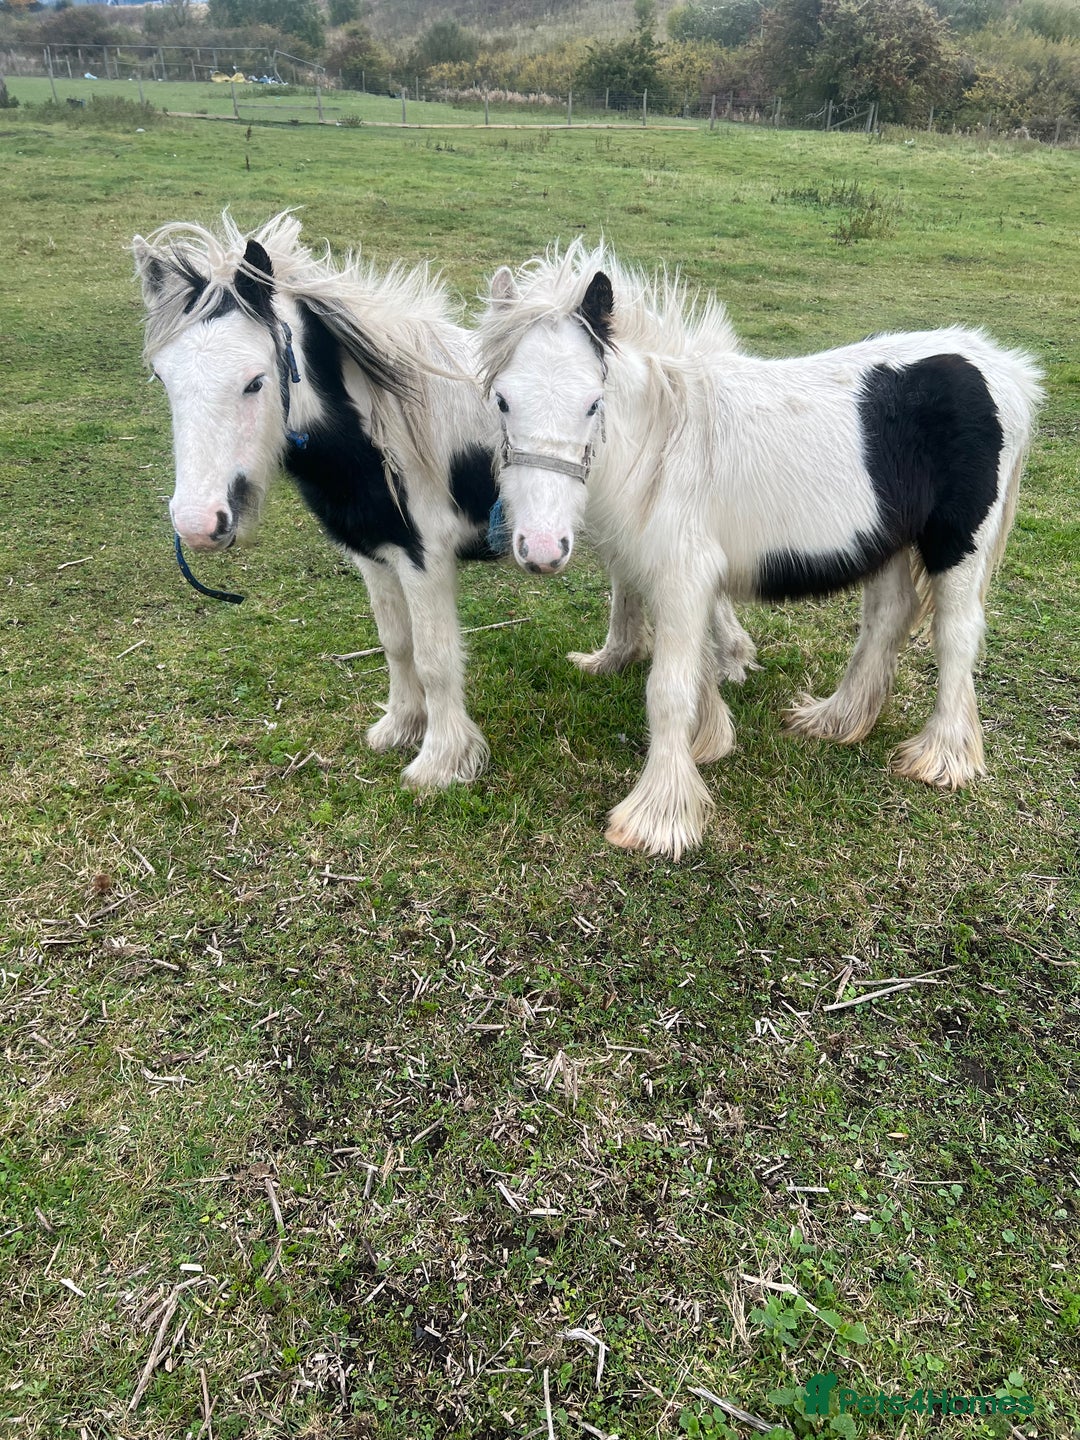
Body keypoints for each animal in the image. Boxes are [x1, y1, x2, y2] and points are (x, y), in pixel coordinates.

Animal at [133, 212, 501, 790]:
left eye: (255, 382)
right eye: (162, 378)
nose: (198, 524)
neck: (388, 427)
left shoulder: (425, 560)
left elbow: (436, 658)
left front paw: (440, 763)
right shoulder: (374, 553)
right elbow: (396, 643)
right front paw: (400, 728)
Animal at [478, 241, 1042, 859]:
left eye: (592, 404)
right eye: (502, 401)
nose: (540, 548)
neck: (664, 440)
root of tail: (1005, 370)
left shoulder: (683, 573)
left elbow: (668, 688)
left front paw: (658, 817)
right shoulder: (663, 566)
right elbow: (679, 648)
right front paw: (704, 737)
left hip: (957, 546)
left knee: (956, 634)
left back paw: (942, 757)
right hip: (885, 541)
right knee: (888, 617)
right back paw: (836, 720)